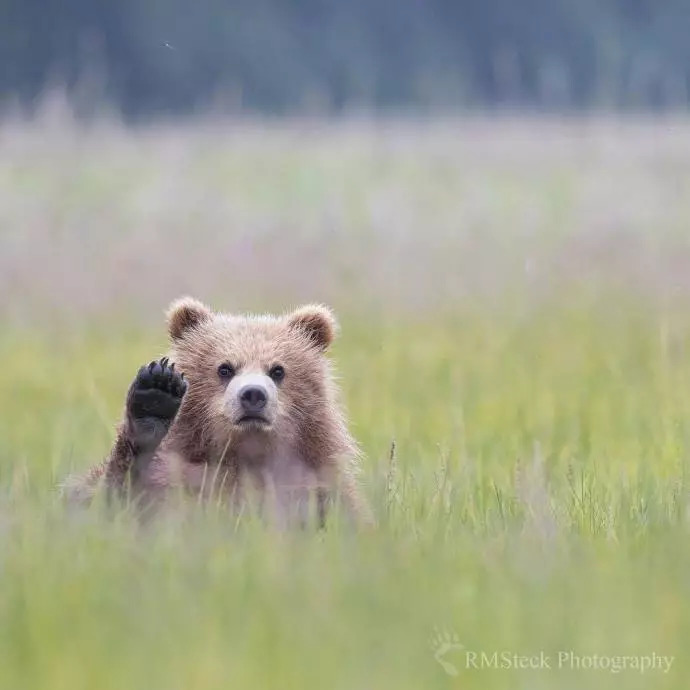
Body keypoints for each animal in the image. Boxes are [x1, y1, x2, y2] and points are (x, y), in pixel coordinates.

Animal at [66, 296, 370, 528]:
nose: (253, 395)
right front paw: (156, 393)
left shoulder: (319, 485)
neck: (245, 455)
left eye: (277, 370)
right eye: (224, 368)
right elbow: (103, 502)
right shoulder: (176, 480)